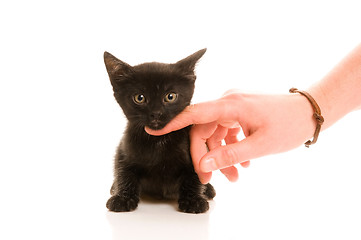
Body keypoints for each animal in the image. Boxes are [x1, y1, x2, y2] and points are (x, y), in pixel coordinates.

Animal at [102, 48, 215, 214]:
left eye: (170, 96)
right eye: (140, 98)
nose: (156, 113)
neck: (158, 140)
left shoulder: (196, 151)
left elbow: (194, 176)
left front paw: (193, 200)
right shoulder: (123, 149)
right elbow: (123, 171)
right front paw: (122, 198)